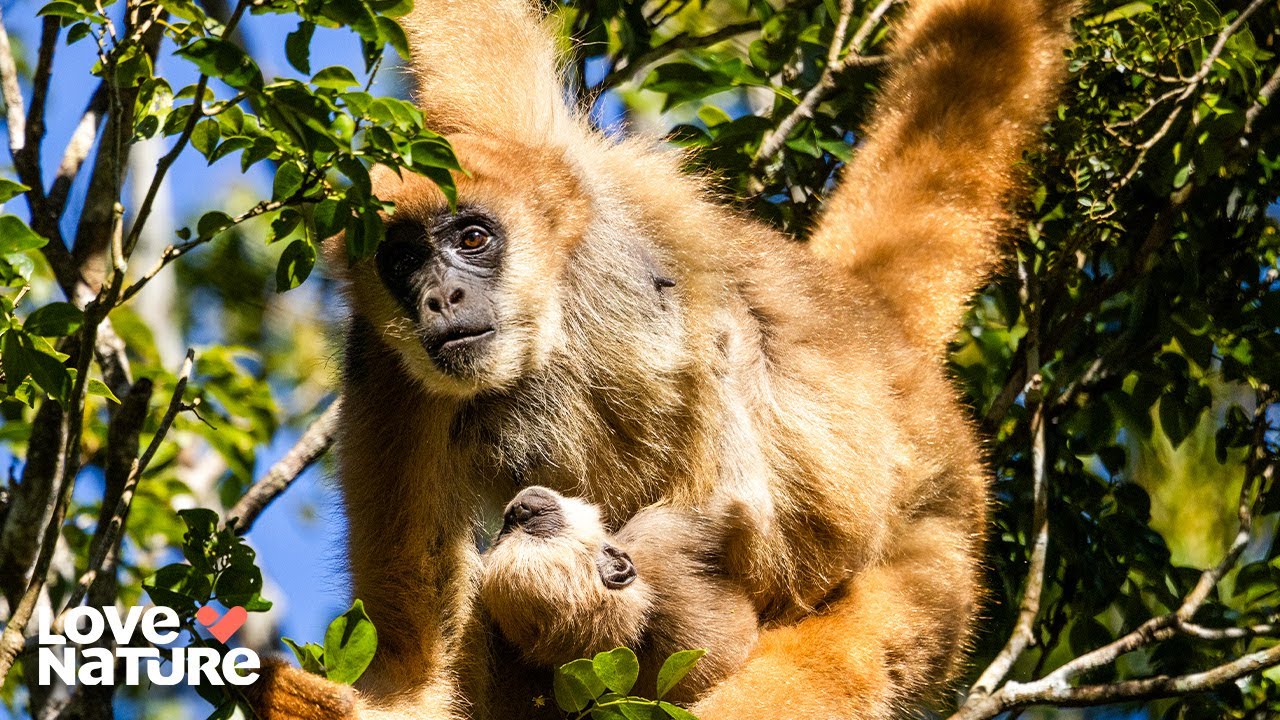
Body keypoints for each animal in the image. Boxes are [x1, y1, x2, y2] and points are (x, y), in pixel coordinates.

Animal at [478, 486, 758, 704]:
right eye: (538, 526)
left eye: (507, 531)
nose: (518, 511)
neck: (643, 622)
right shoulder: (657, 535)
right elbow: (739, 506)